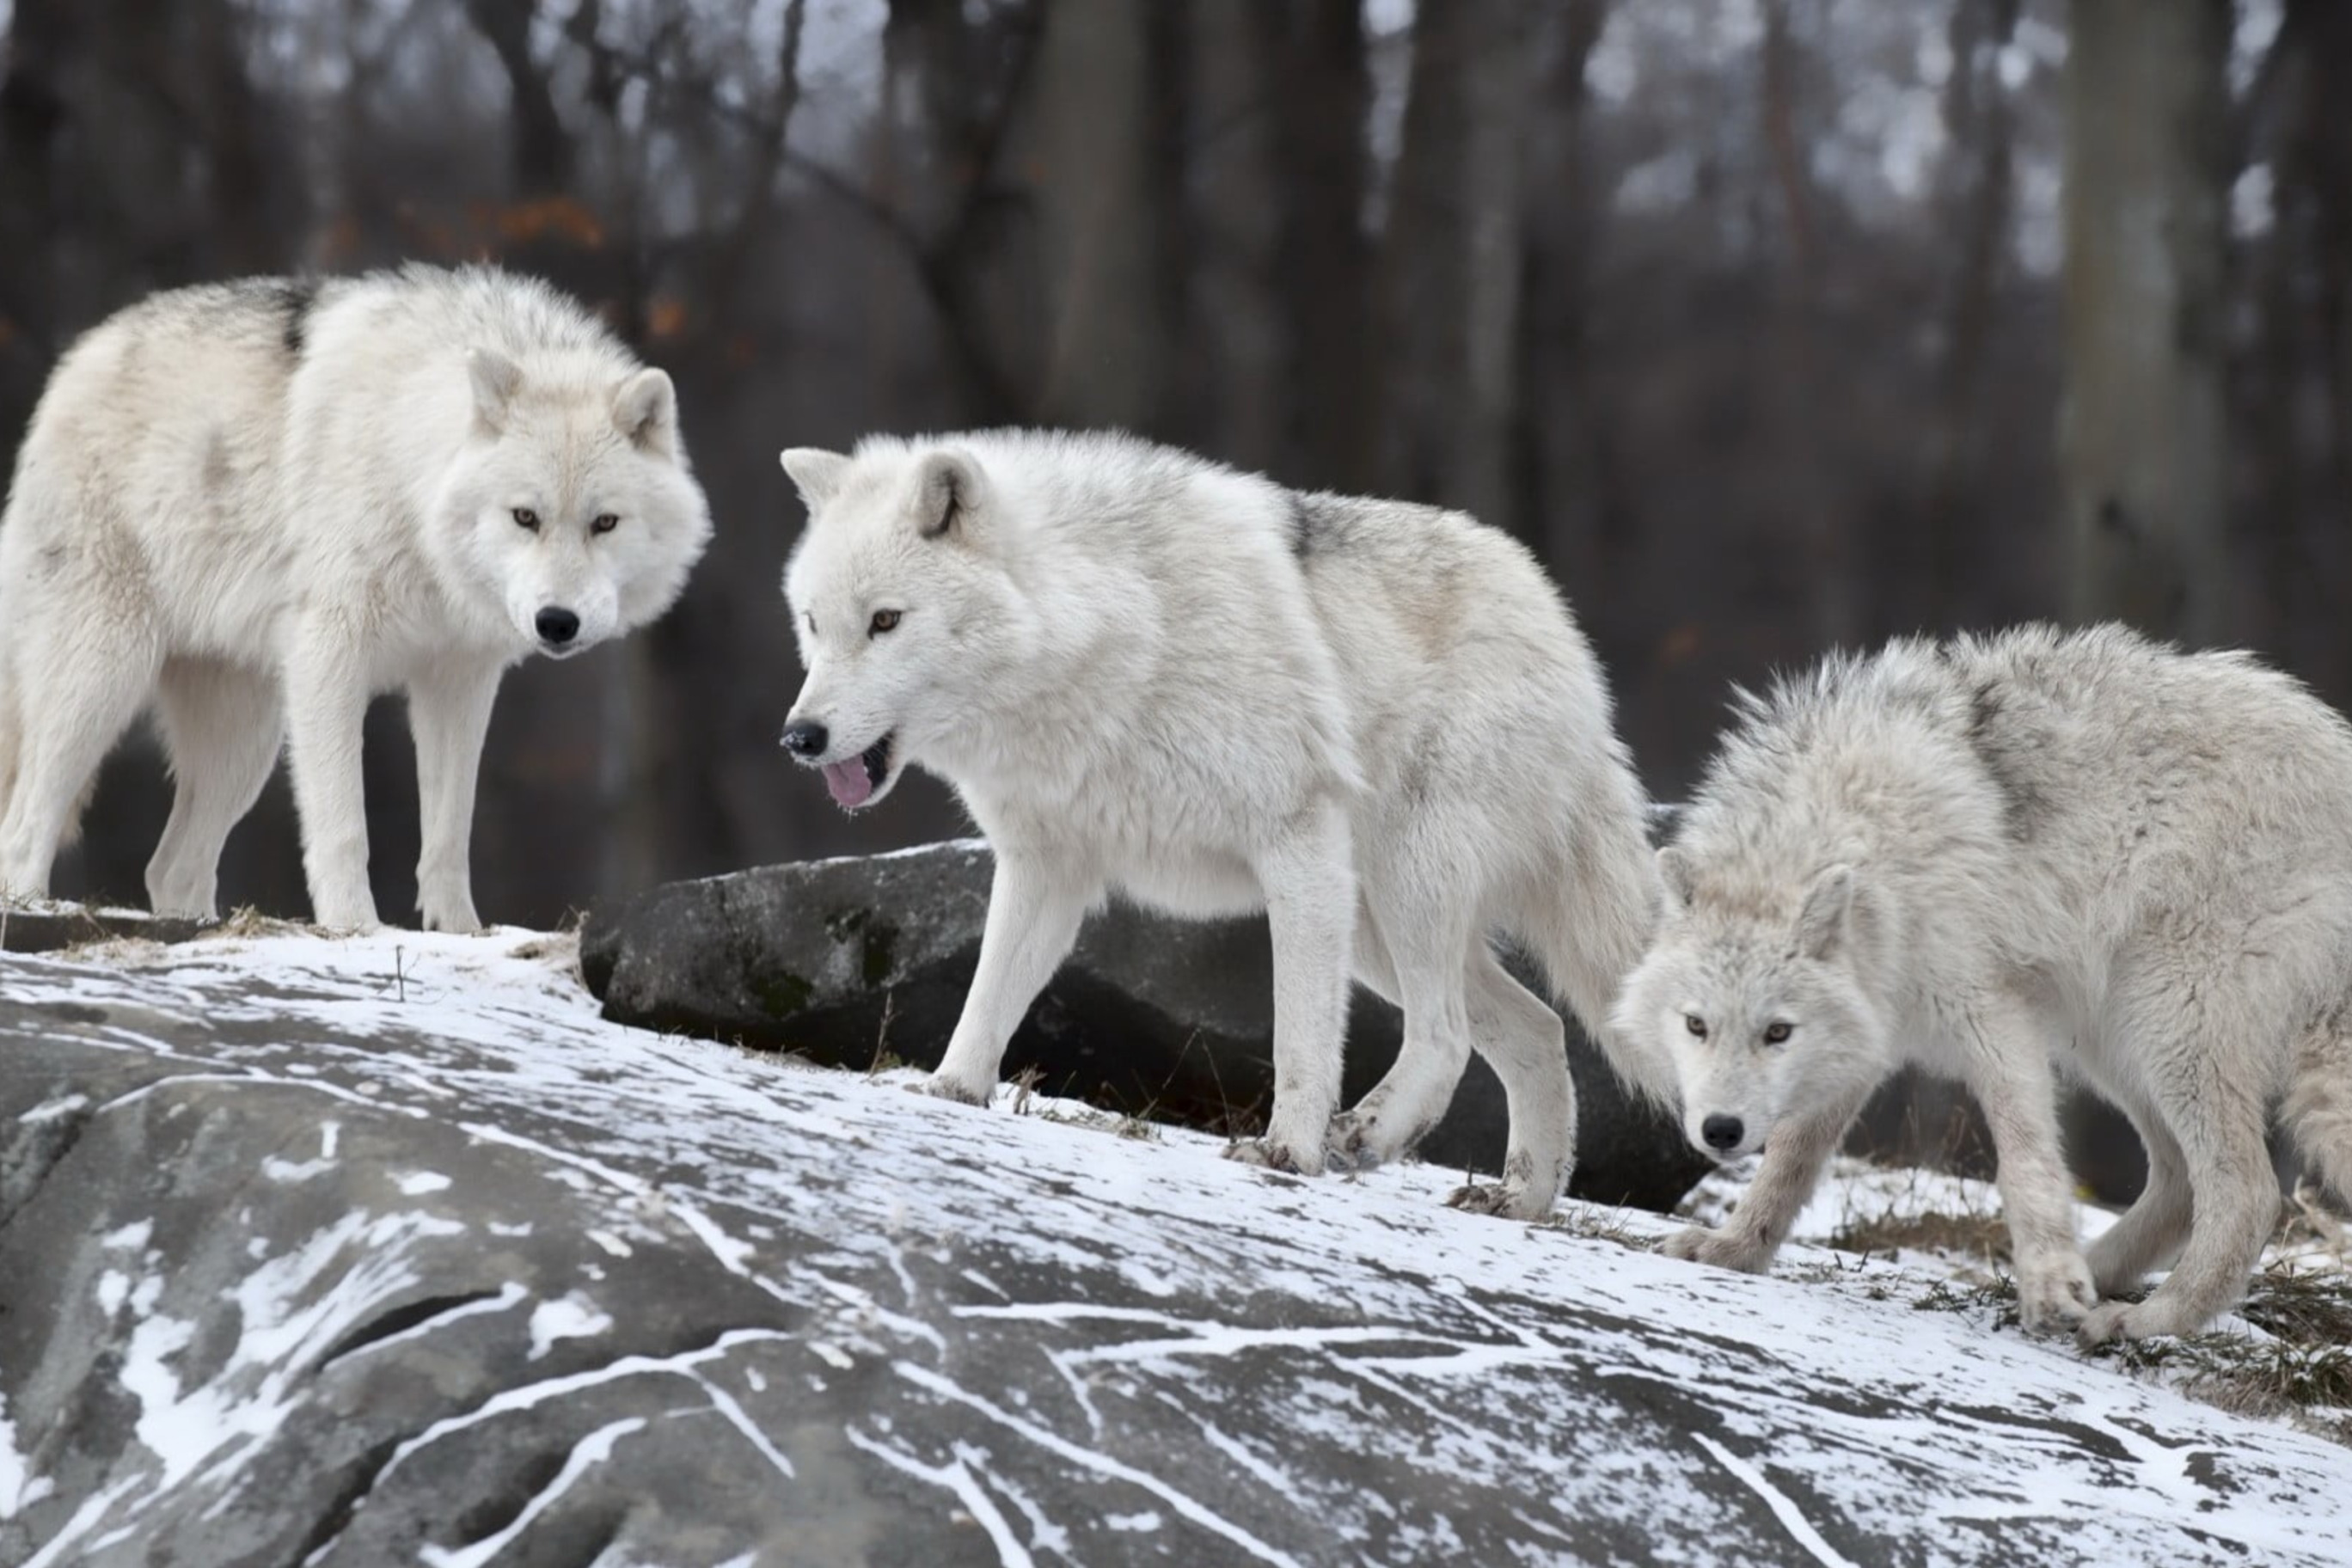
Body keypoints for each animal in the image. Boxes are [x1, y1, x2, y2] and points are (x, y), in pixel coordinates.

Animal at [775, 434, 1675, 1222]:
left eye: (886, 621)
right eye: (815, 623)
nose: (800, 737)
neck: (1110, 635)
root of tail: (1559, 622)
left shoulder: (1296, 844)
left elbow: (1300, 1035)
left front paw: (1286, 1153)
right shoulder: (1046, 868)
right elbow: (989, 996)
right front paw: (950, 1093)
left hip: (1402, 885)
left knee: (1447, 1034)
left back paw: (1367, 1137)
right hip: (1375, 924)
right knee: (1539, 1028)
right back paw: (1520, 1199)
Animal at [1618, 620, 2352, 1335]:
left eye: (1776, 1032)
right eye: (1696, 1026)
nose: (1720, 1131)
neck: (1867, 837)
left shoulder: (1992, 1014)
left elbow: (2024, 1161)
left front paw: (2052, 1285)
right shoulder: (1865, 1036)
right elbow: (1790, 1162)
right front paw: (1735, 1249)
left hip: (2165, 1023)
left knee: (2248, 1193)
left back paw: (2151, 1319)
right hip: (2114, 1040)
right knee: (2178, 1185)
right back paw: (2094, 1279)